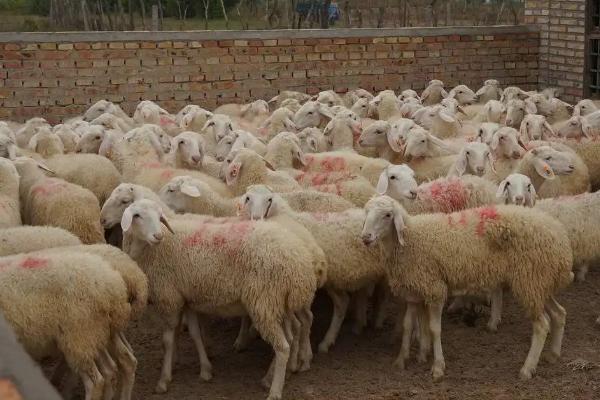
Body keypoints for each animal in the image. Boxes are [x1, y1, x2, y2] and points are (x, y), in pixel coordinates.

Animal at [122, 198, 318, 398]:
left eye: (159, 216)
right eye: (137, 215)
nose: (158, 235)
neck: (150, 250)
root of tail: (300, 264)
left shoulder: (169, 297)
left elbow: (167, 341)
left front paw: (164, 380)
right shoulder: (187, 298)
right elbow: (195, 333)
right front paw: (205, 370)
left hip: (263, 303)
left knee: (282, 347)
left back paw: (275, 390)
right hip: (278, 303)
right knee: (290, 337)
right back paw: (271, 377)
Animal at [241, 187, 386, 350]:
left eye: (269, 199)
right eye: (247, 198)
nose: (256, 218)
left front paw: (246, 335)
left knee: (358, 300)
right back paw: (356, 325)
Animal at [360, 197, 572, 382]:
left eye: (387, 215)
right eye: (367, 212)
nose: (365, 237)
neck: (410, 240)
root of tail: (560, 236)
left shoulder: (435, 289)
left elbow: (434, 329)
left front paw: (437, 367)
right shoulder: (414, 291)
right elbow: (408, 326)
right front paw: (404, 359)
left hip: (529, 280)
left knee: (542, 325)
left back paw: (527, 369)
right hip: (539, 282)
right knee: (559, 313)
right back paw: (553, 354)